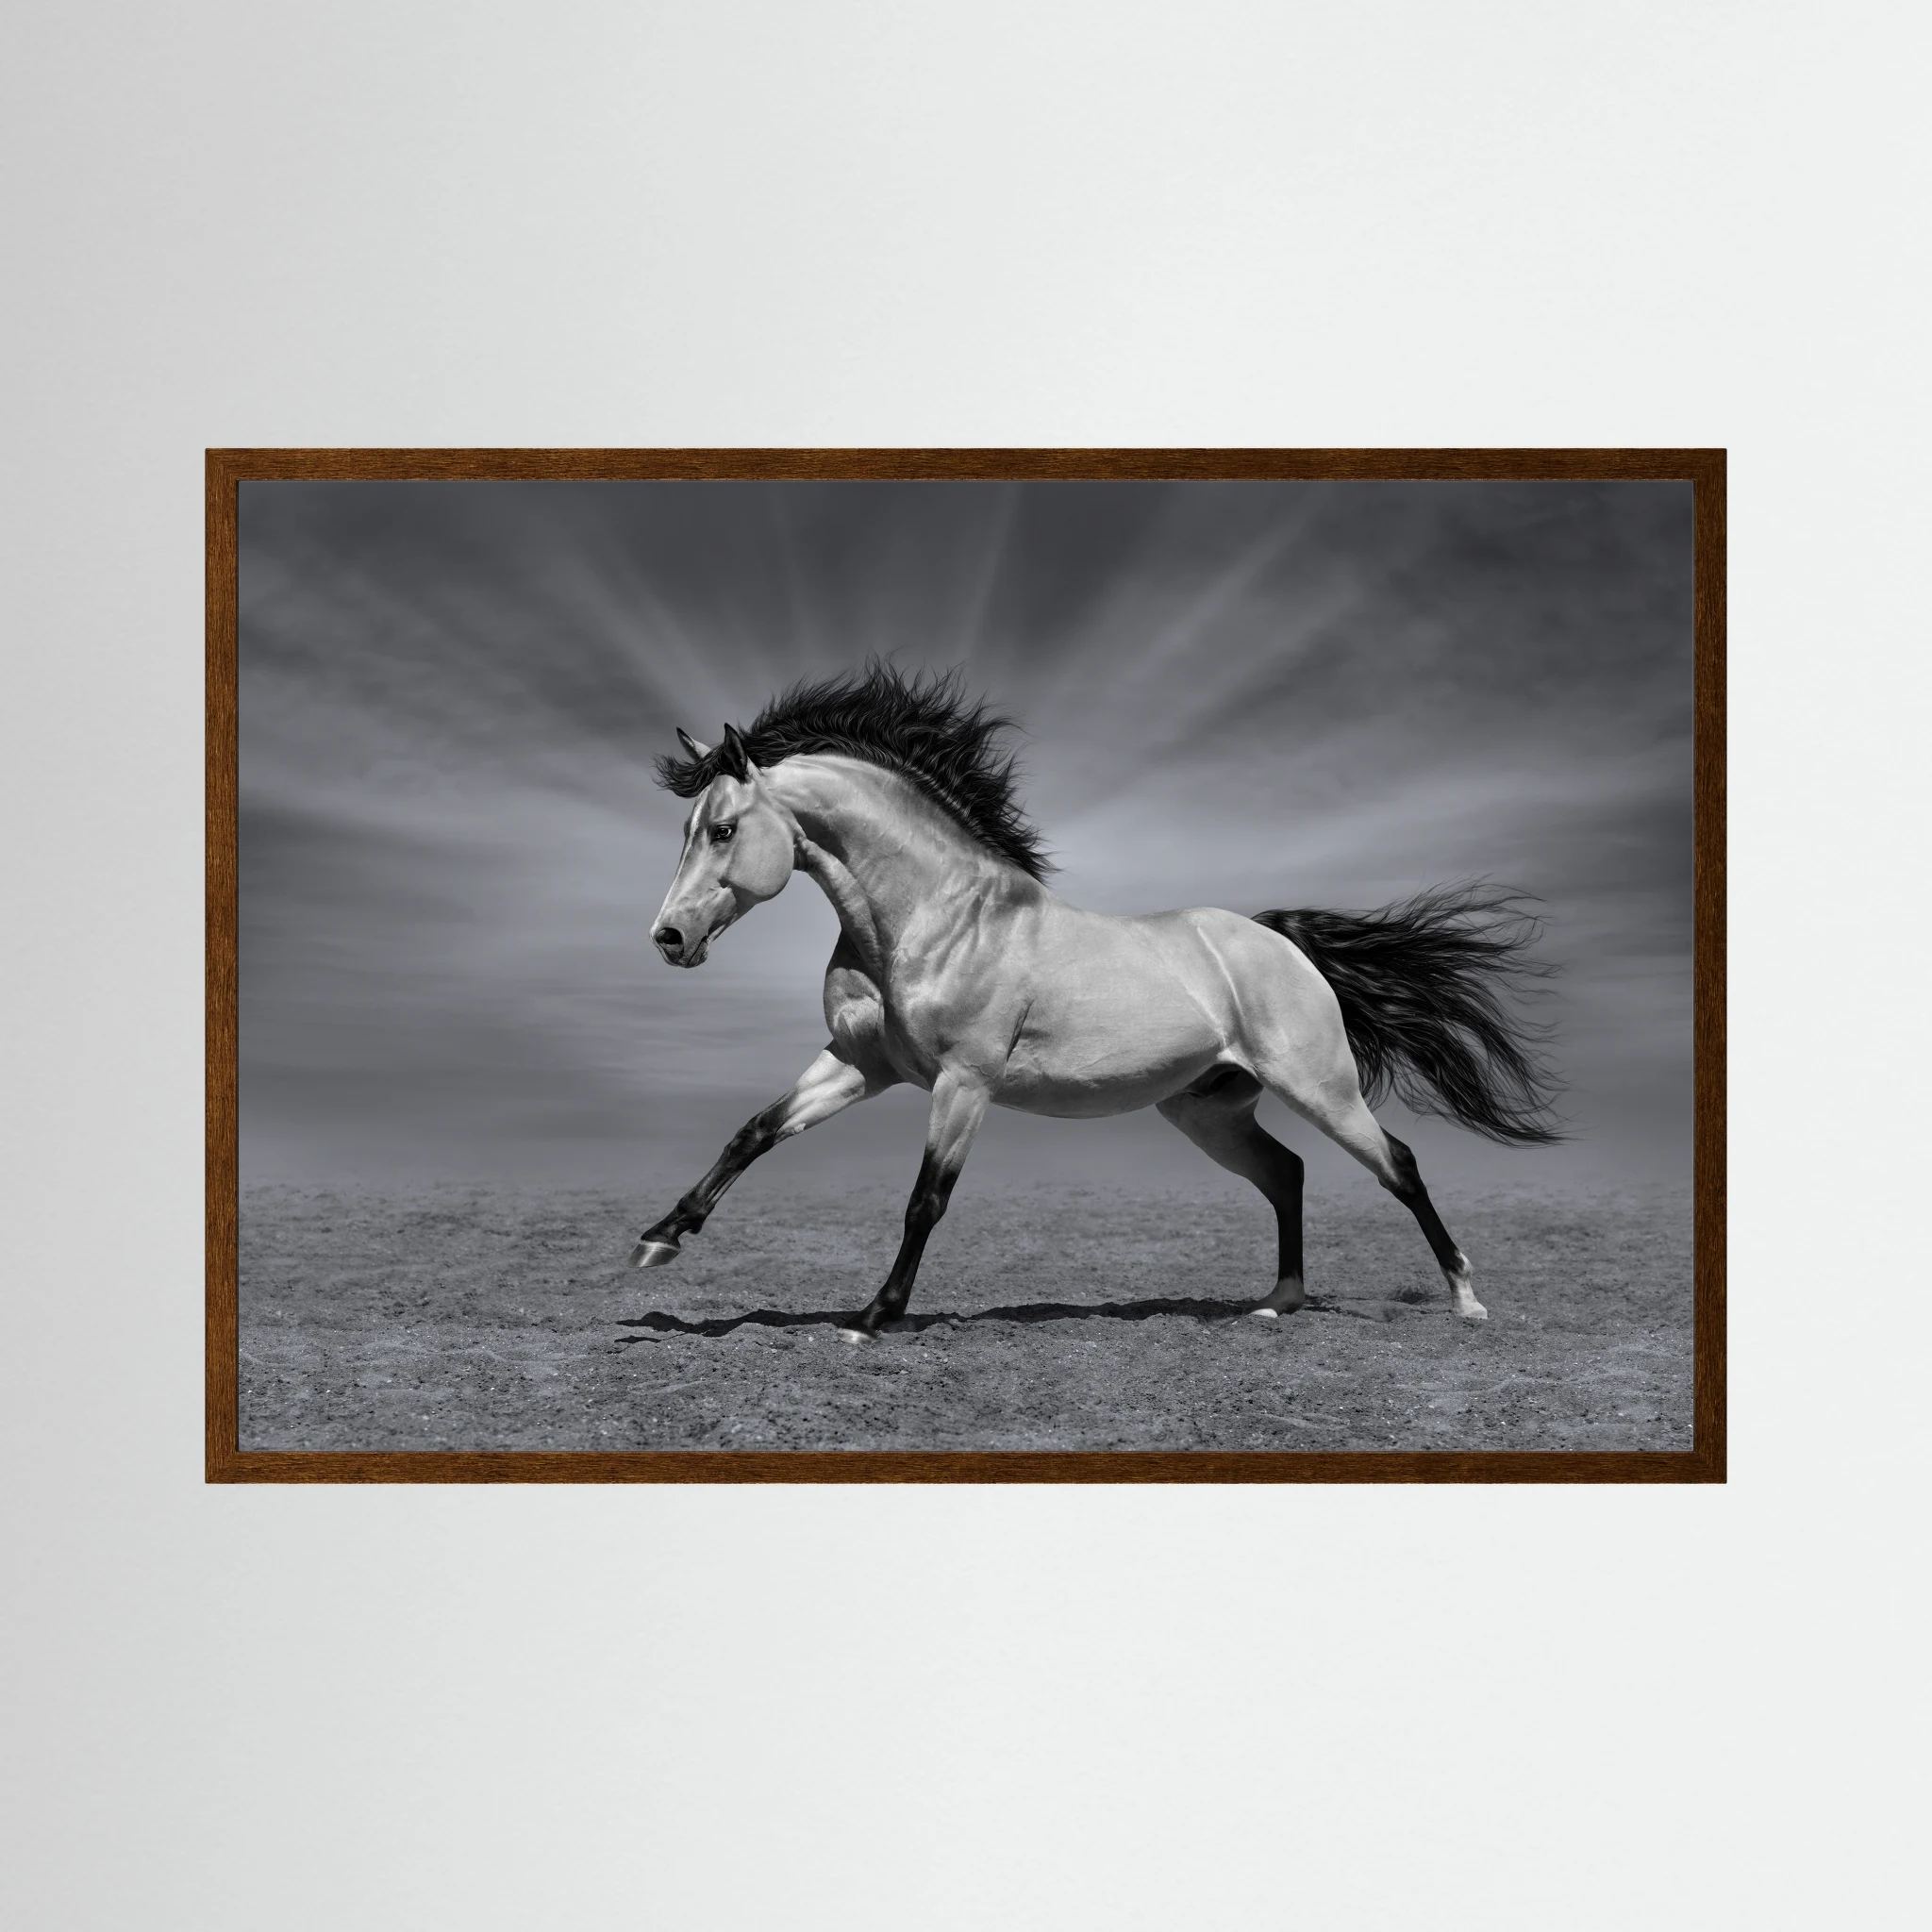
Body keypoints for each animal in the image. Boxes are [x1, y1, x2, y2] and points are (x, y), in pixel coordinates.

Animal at [633, 663, 1560, 1340]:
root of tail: (1280, 943)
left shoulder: (963, 1083)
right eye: (687, 830)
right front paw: (659, 1239)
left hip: (1319, 1088)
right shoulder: (862, 1065)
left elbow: (926, 1199)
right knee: (1286, 1173)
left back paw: (1466, 1301)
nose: (669, 938)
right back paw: (1276, 1302)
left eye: (722, 830)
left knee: (1397, 1165)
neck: (935, 918)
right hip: (1207, 1110)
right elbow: (754, 1132)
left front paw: (873, 1317)